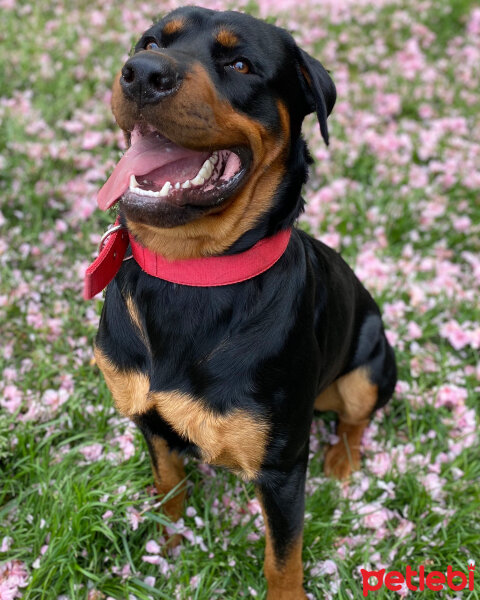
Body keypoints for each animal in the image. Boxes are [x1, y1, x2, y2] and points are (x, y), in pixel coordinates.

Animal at [89, 5, 394, 600]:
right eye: (151, 42)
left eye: (240, 64)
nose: (142, 74)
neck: (192, 271)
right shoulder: (148, 420)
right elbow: (169, 486)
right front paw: (170, 544)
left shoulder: (281, 467)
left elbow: (283, 557)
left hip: (371, 361)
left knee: (356, 416)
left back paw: (343, 459)